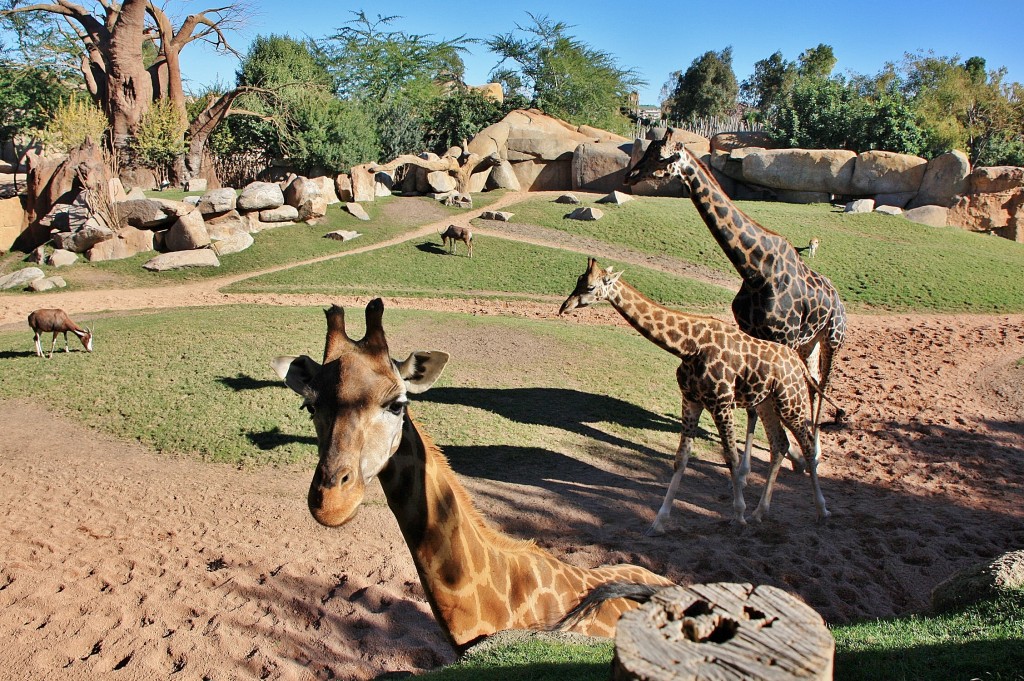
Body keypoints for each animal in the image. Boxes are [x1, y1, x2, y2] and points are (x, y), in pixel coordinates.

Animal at [561, 258, 831, 532]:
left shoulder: (722, 403)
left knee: (807, 444)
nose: (564, 307)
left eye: (591, 287)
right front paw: (659, 521)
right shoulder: (690, 400)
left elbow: (731, 457)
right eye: (578, 280)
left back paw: (821, 510)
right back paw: (760, 512)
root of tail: (798, 364)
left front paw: (738, 514)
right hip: (768, 402)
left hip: (791, 401)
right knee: (780, 444)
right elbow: (681, 458)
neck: (689, 347)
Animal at [622, 131, 847, 473]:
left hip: (832, 338)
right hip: (808, 343)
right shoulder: (752, 333)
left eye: (661, 156)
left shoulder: (781, 337)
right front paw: (748, 464)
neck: (756, 270)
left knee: (824, 382)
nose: (629, 175)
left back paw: (816, 449)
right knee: (813, 382)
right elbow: (755, 406)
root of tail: (838, 299)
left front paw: (787, 455)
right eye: (646, 151)